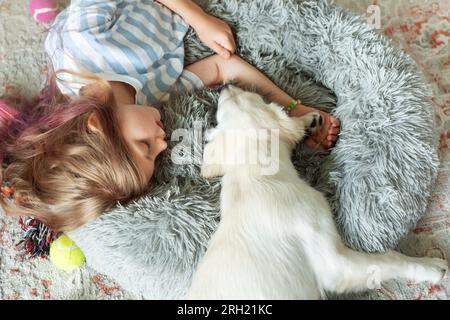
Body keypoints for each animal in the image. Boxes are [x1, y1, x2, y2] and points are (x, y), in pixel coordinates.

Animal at [187, 85, 446, 300]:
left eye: (221, 110)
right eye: (256, 97)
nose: (225, 85)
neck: (252, 171)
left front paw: (310, 119)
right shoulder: (334, 260)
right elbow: (388, 258)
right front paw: (433, 267)